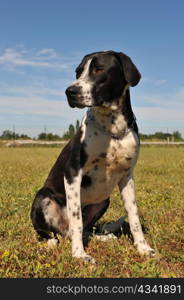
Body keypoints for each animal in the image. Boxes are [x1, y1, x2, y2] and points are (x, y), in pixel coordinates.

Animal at [30, 50, 155, 262]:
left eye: (99, 69)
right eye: (78, 72)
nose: (70, 92)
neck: (113, 129)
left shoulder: (127, 176)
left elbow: (134, 216)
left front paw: (143, 248)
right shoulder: (73, 173)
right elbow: (77, 220)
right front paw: (79, 254)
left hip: (104, 200)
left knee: (85, 229)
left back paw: (104, 237)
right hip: (43, 196)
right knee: (56, 232)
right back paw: (52, 242)